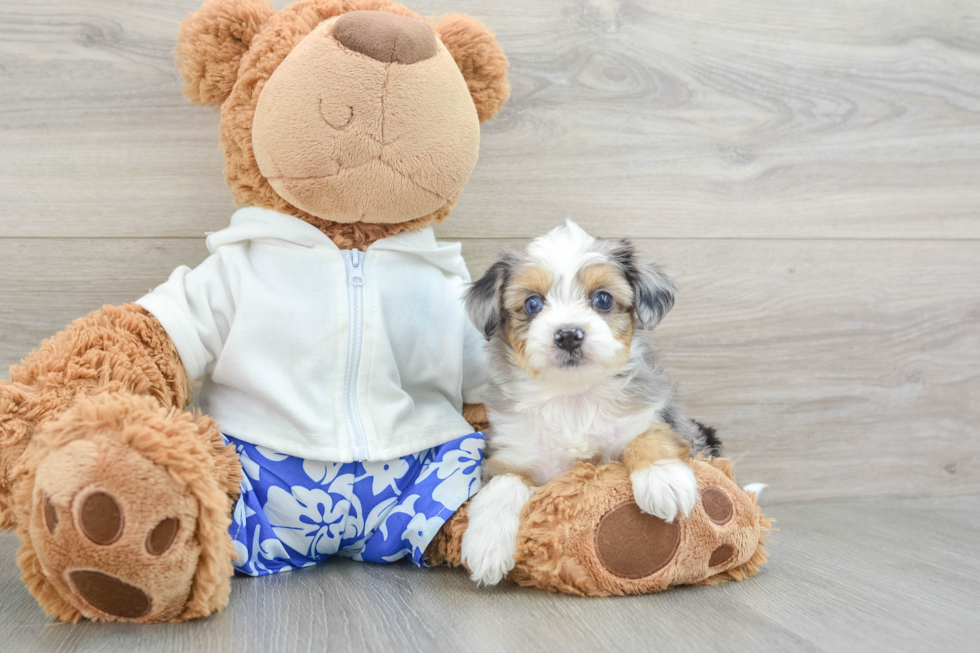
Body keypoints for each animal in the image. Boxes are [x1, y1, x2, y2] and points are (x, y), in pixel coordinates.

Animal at [460, 220, 720, 584]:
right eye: (532, 304)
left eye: (603, 299)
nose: (568, 335)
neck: (574, 398)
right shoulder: (511, 452)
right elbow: (503, 484)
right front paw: (486, 545)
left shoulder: (654, 414)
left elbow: (649, 436)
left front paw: (663, 480)